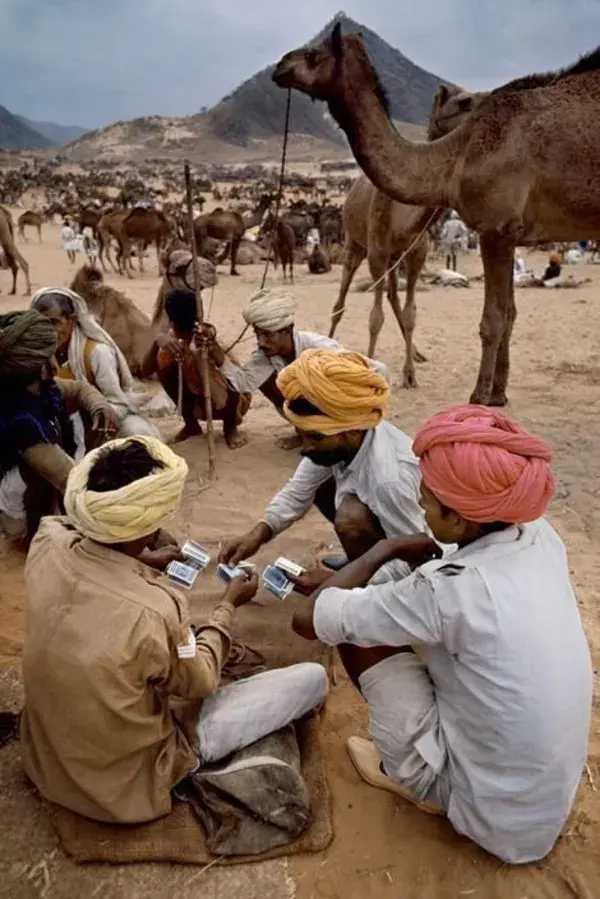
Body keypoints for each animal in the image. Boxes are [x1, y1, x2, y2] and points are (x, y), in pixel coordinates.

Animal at [328, 85, 482, 390]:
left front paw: (410, 374)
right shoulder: (377, 254)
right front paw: (369, 369)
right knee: (341, 301)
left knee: (392, 296)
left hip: (394, 256)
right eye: (463, 102)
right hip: (355, 243)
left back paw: (417, 353)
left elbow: (410, 313)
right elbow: (375, 317)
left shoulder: (415, 254)